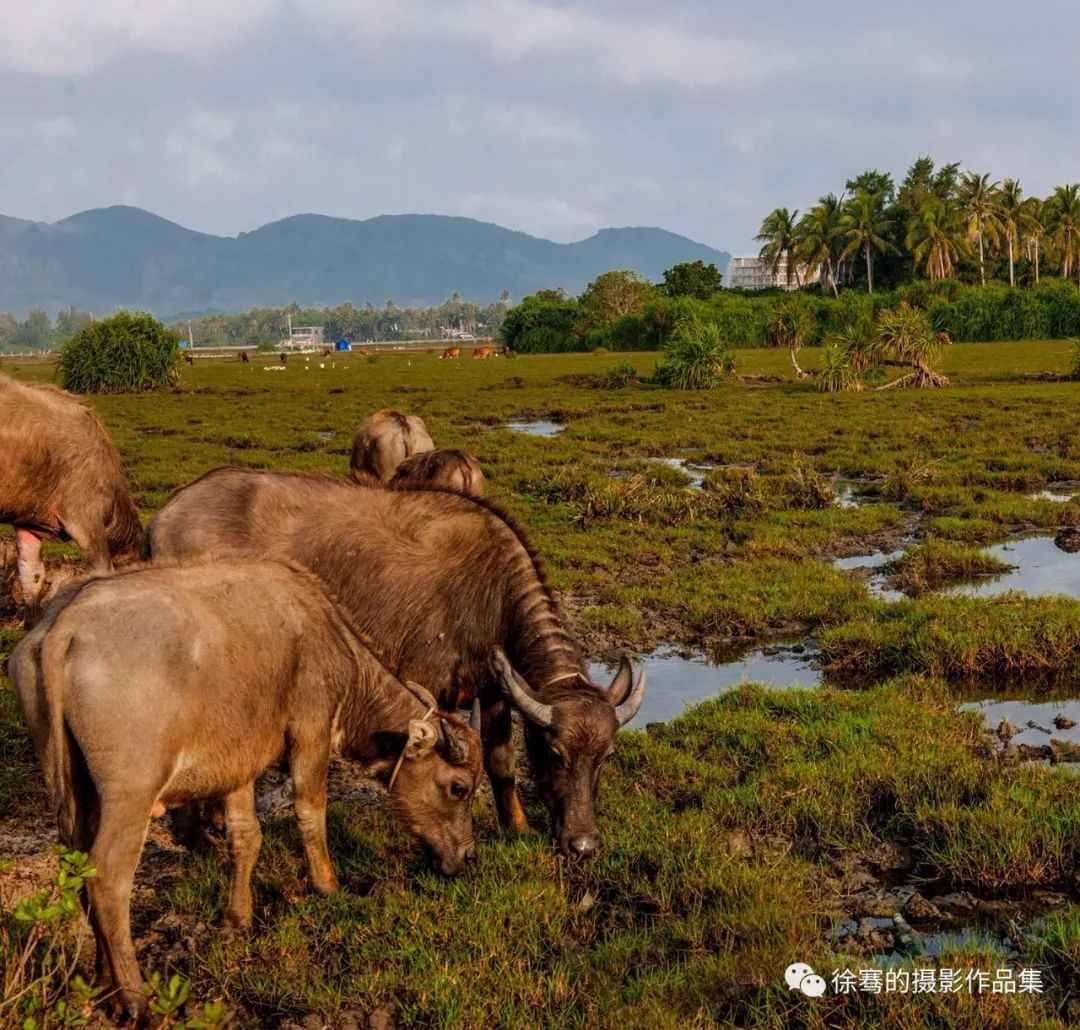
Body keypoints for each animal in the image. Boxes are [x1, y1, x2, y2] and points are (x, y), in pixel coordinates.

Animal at [9, 561, 481, 1019]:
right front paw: (328, 885)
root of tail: (65, 625)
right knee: (108, 879)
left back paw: (103, 982)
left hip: (71, 788)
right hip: (130, 795)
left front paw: (239, 918)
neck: (324, 635)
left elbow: (246, 836)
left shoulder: (238, 764)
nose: (468, 856)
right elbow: (311, 813)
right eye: (458, 788)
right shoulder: (311, 731)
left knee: (76, 871)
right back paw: (136, 998)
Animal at [146, 470, 643, 855]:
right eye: (556, 754)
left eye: (606, 757)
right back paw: (196, 837)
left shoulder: (495, 689)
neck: (492, 592)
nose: (583, 845)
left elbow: (502, 762)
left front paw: (516, 826)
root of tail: (165, 516)